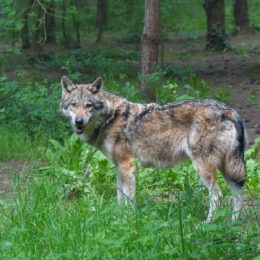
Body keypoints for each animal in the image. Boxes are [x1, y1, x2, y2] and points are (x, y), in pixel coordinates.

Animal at [60, 76, 247, 222]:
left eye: (88, 105)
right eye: (73, 104)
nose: (79, 122)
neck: (110, 118)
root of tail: (230, 111)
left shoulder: (128, 166)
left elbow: (129, 200)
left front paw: (128, 221)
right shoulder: (119, 167)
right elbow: (120, 197)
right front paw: (118, 218)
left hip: (204, 168)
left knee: (218, 195)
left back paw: (207, 224)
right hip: (227, 168)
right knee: (238, 194)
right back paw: (232, 223)